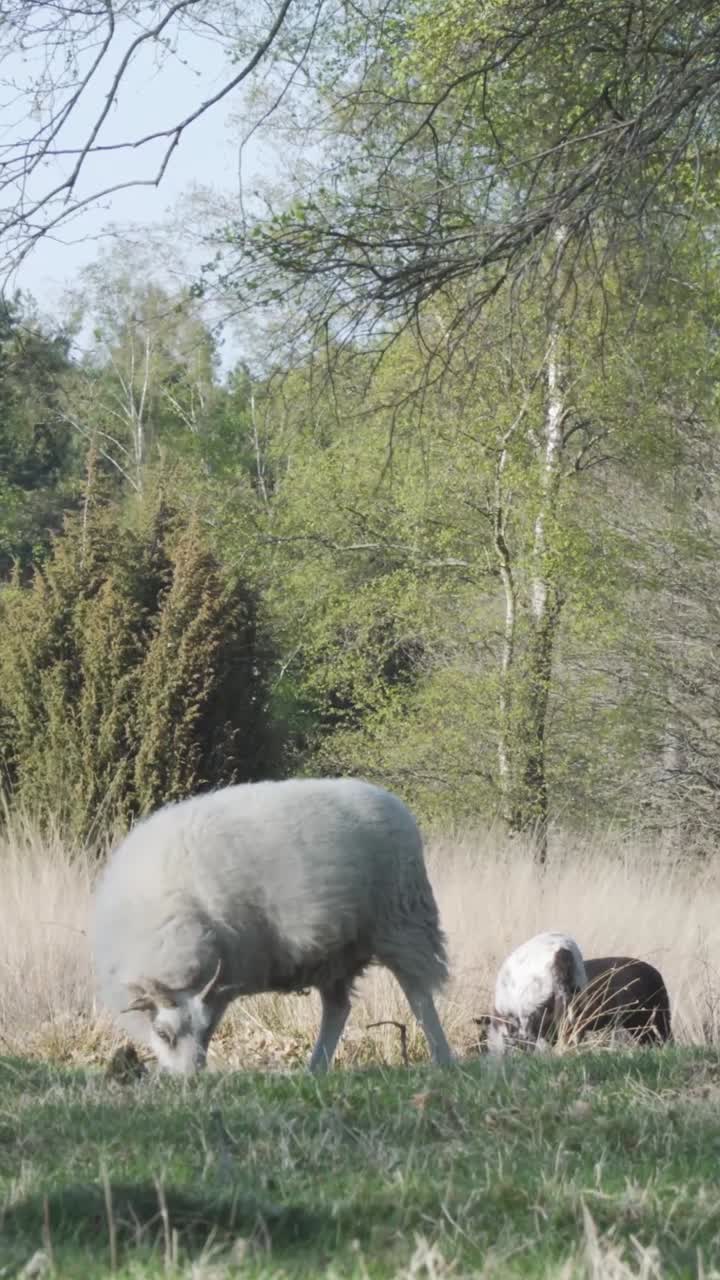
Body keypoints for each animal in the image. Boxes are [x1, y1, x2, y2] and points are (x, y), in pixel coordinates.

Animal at [92, 777, 454, 1075]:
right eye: (163, 1034)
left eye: (205, 1030)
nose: (188, 1080)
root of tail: (393, 801)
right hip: (337, 954)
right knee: (338, 1009)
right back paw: (315, 1069)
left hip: (403, 922)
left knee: (419, 995)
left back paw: (443, 1059)